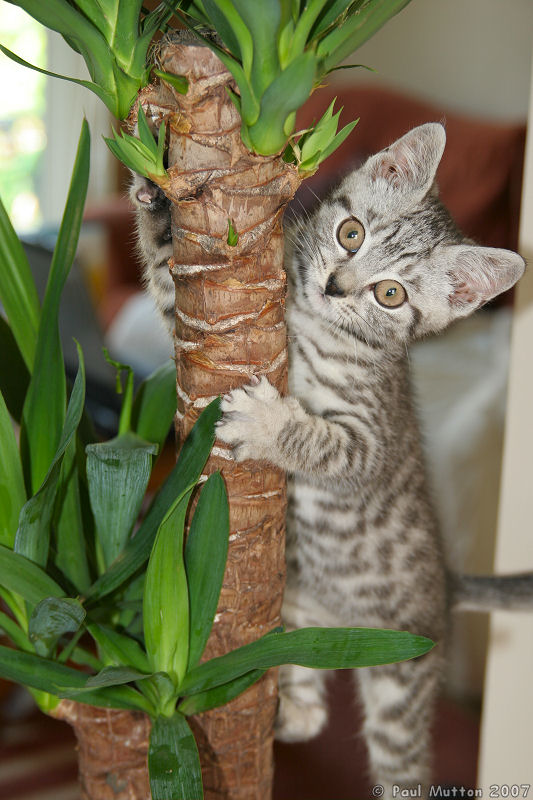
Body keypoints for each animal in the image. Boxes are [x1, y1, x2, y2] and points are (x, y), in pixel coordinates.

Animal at [131, 122, 528, 796]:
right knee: (312, 706)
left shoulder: (369, 441)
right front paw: (159, 195)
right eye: (351, 233)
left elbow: (321, 442)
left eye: (390, 294)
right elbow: (166, 276)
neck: (315, 323)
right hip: (300, 615)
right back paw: (288, 708)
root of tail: (447, 588)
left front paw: (267, 423)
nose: (337, 286)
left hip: (401, 685)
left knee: (404, 764)